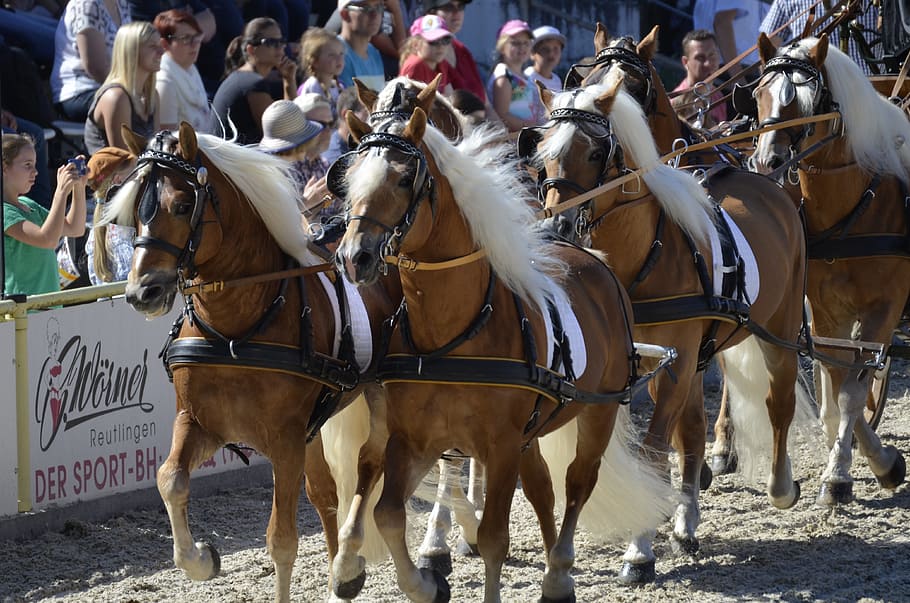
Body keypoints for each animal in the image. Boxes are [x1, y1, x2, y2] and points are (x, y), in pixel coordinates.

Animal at [98, 123, 399, 602]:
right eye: (132, 213)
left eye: (182, 205)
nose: (142, 292)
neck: (235, 332)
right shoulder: (200, 422)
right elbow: (169, 479)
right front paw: (202, 558)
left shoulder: (285, 440)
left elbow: (282, 539)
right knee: (327, 493)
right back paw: (342, 575)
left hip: (381, 398)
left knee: (370, 465)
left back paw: (351, 561)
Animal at [331, 107, 677, 601]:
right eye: (349, 177)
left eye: (403, 179)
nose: (353, 257)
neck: (454, 334)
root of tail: (593, 259)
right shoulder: (414, 439)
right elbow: (388, 514)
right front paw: (425, 584)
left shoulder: (500, 446)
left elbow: (495, 536)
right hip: (526, 436)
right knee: (543, 489)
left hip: (597, 412)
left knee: (577, 482)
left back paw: (558, 572)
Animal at [522, 73, 807, 582]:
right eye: (543, 152)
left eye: (595, 152)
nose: (559, 224)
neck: (641, 257)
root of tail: (762, 176)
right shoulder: (644, 367)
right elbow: (674, 440)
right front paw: (667, 525)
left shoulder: (672, 365)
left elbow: (655, 452)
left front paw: (639, 551)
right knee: (693, 430)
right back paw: (687, 520)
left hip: (781, 324)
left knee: (780, 399)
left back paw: (780, 485)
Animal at [751, 33, 908, 504]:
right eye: (758, 94)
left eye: (808, 102)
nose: (767, 161)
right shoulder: (825, 311)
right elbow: (840, 384)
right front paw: (875, 461)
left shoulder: (885, 306)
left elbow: (855, 391)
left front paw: (840, 475)